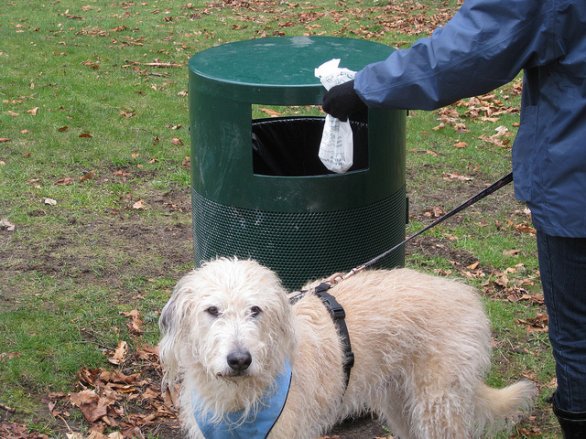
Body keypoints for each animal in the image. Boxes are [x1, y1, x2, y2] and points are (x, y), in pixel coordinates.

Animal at [159, 260, 532, 438]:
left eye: (255, 310)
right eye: (212, 310)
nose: (239, 360)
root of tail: (465, 295)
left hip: (438, 406)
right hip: (401, 403)